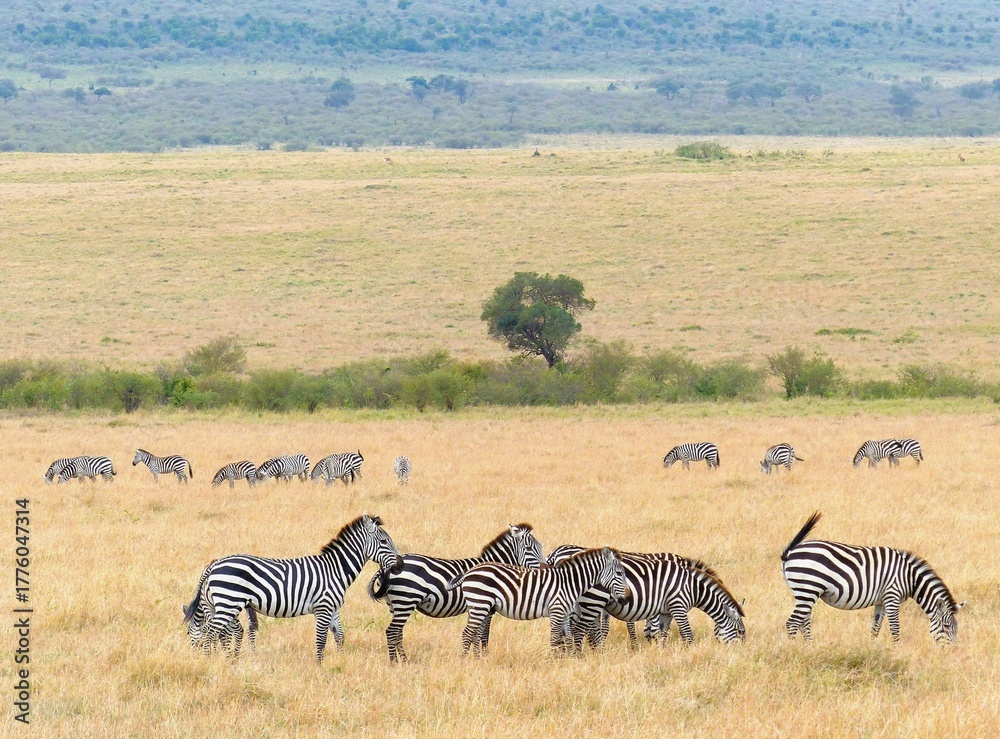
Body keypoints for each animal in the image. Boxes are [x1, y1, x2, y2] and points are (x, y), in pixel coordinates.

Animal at [189, 513, 403, 662]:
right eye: (384, 541)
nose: (400, 566)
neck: (335, 569)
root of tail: (214, 565)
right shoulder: (323, 607)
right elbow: (321, 640)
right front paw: (319, 667)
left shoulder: (332, 608)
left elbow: (340, 636)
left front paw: (341, 662)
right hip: (229, 602)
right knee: (210, 632)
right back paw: (208, 663)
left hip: (216, 605)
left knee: (211, 632)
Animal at [367, 524, 544, 663]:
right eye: (529, 548)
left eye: (540, 547)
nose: (544, 567)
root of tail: (386, 568)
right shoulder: (487, 607)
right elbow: (483, 634)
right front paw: (482, 658)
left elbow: (476, 633)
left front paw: (477, 657)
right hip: (406, 600)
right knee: (392, 631)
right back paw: (395, 662)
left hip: (395, 604)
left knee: (398, 632)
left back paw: (403, 660)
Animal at [449, 547, 628, 656]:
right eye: (619, 573)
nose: (626, 600)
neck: (569, 582)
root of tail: (470, 571)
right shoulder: (556, 610)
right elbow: (555, 638)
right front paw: (555, 661)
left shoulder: (564, 613)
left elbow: (568, 638)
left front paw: (571, 660)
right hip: (480, 604)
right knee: (467, 633)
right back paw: (465, 662)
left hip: (482, 606)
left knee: (475, 633)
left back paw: (477, 660)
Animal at [547, 546, 745, 649]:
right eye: (740, 632)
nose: (741, 654)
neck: (692, 586)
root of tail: (556, 553)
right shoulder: (674, 605)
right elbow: (681, 634)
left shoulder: (664, 609)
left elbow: (661, 632)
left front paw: (659, 650)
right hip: (592, 601)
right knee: (577, 629)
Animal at [781, 512, 964, 643]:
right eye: (946, 626)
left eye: (956, 629)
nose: (951, 652)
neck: (910, 578)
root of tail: (790, 551)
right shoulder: (892, 596)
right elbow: (895, 628)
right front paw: (896, 651)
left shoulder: (881, 601)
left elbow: (875, 627)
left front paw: (872, 649)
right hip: (808, 588)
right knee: (792, 623)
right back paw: (794, 650)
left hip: (805, 593)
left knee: (803, 623)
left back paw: (809, 647)